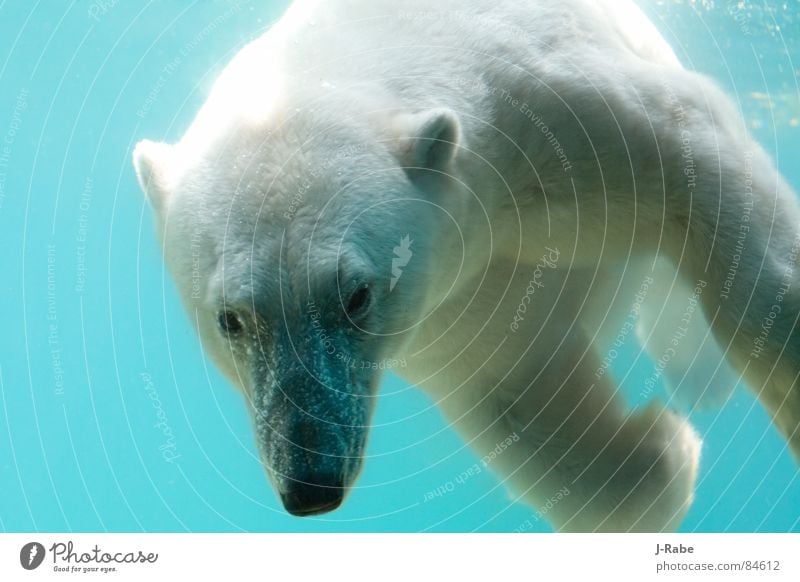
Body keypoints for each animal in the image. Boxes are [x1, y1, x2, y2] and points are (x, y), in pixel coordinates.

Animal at [131, 0, 800, 532]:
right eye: (230, 320)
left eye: (357, 296)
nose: (311, 482)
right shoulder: (459, 297)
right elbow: (516, 391)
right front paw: (663, 452)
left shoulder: (561, 106)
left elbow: (697, 161)